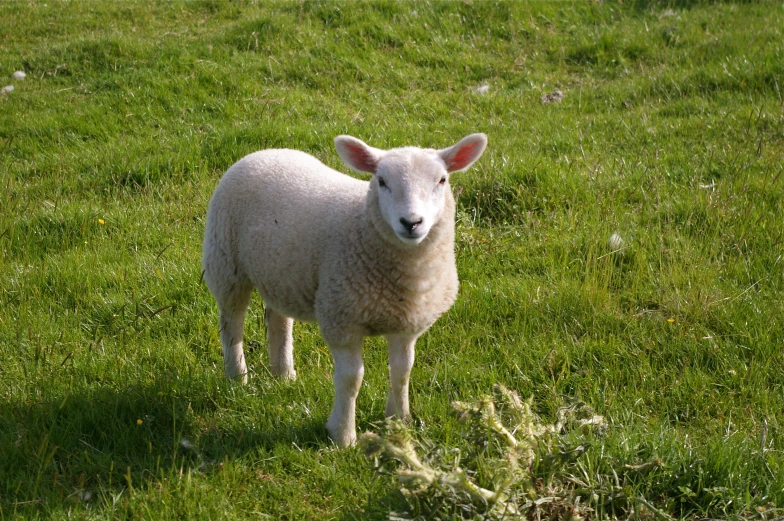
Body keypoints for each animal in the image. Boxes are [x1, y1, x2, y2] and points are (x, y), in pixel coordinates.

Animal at [201, 133, 484, 446]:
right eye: (381, 181)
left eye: (442, 180)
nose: (411, 223)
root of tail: (266, 152)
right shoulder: (342, 321)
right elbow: (351, 379)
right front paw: (343, 435)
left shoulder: (407, 324)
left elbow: (402, 371)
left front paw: (399, 421)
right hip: (226, 263)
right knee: (231, 325)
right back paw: (237, 377)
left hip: (280, 273)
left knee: (278, 320)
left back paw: (283, 374)